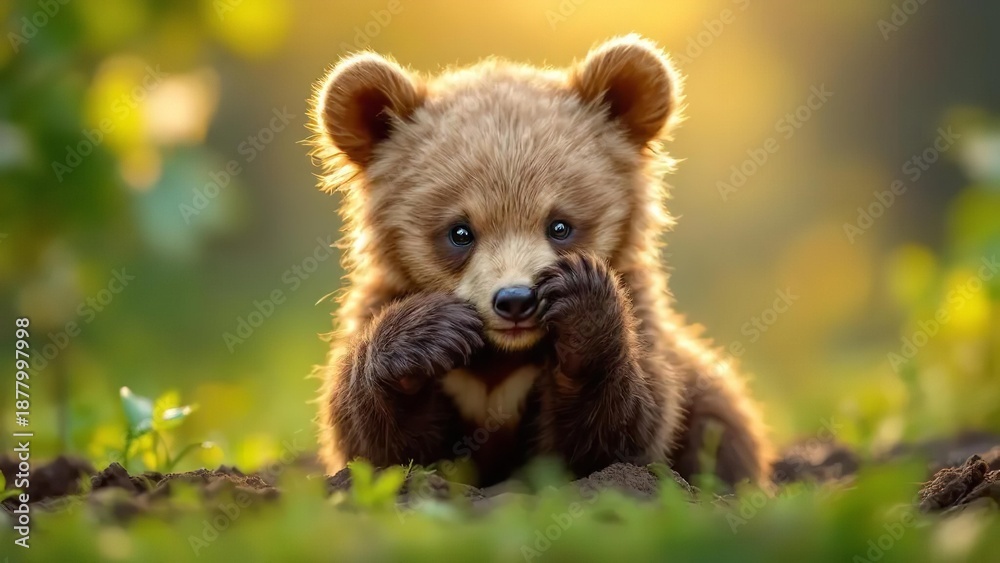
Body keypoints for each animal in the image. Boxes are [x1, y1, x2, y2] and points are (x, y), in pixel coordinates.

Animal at [308, 34, 773, 488]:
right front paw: (427, 333)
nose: (516, 299)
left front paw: (582, 310)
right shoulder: (386, 302)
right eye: (460, 231)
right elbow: (382, 446)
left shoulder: (639, 308)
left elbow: (622, 431)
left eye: (560, 225)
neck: (503, 356)